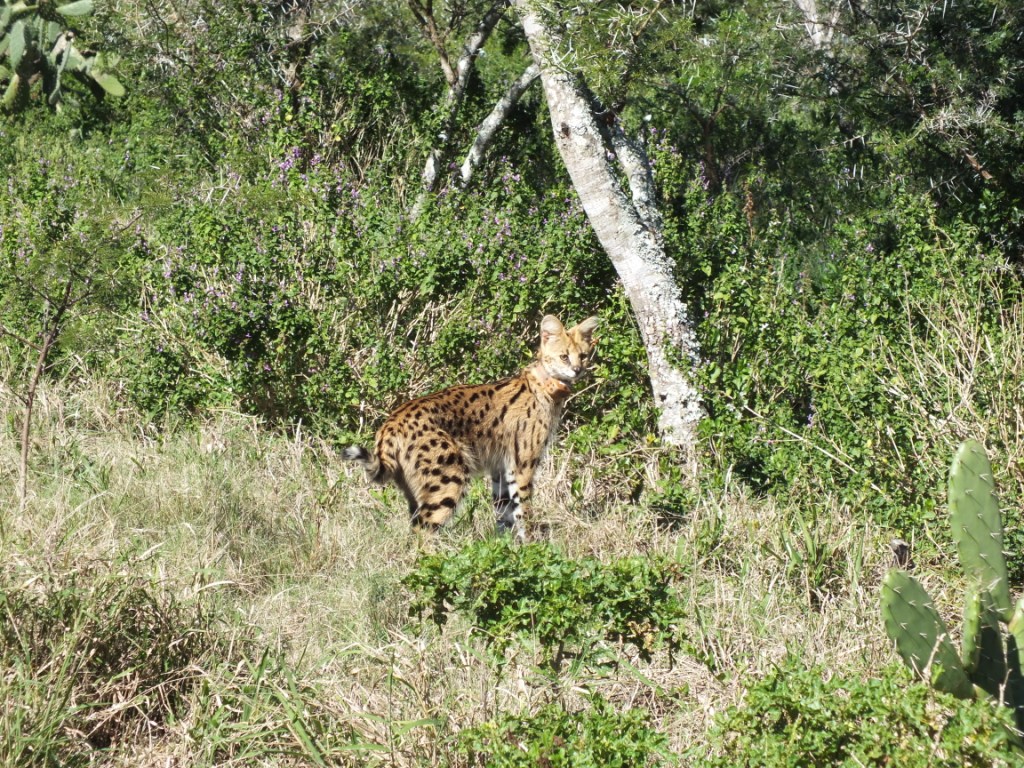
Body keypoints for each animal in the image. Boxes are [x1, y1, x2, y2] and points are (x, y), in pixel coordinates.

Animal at [344, 313, 598, 540]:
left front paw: (505, 549)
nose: (578, 370)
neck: (545, 384)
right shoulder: (522, 464)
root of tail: (391, 422)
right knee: (423, 530)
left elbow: (504, 511)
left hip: (416, 487)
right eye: (564, 357)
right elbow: (523, 511)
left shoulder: (501, 467)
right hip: (449, 477)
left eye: (583, 356)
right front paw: (532, 548)